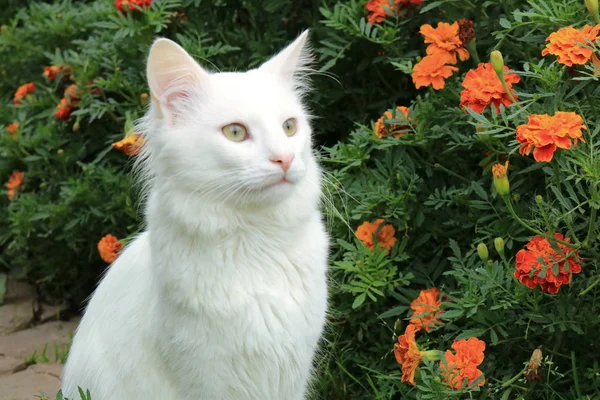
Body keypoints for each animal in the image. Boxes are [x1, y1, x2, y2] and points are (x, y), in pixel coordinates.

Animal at [61, 32, 328, 400]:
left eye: (289, 127)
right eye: (235, 132)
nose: (285, 159)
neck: (258, 239)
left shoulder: (292, 370)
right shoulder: (207, 376)